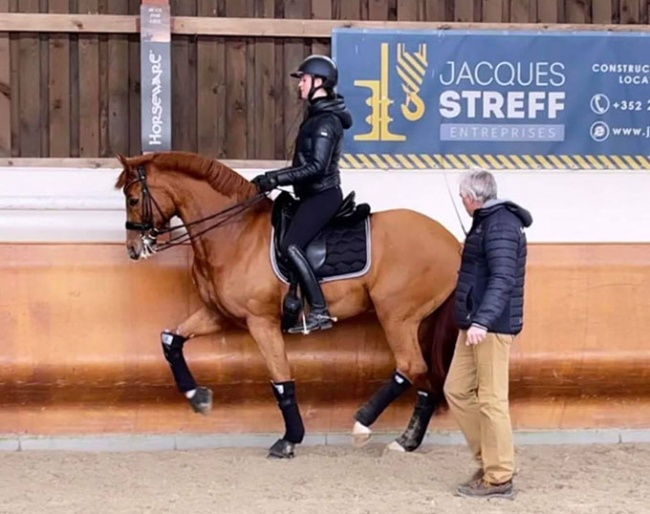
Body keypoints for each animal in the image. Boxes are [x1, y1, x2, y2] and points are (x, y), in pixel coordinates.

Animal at [116, 149, 460, 456]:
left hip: (396, 316)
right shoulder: (218, 314)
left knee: (411, 366)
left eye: (132, 199)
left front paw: (289, 440)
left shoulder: (260, 321)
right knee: (428, 375)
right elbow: (170, 339)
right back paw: (406, 441)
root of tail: (452, 242)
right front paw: (197, 397)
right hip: (418, 322)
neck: (234, 234)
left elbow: (281, 377)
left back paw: (362, 424)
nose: (133, 249)